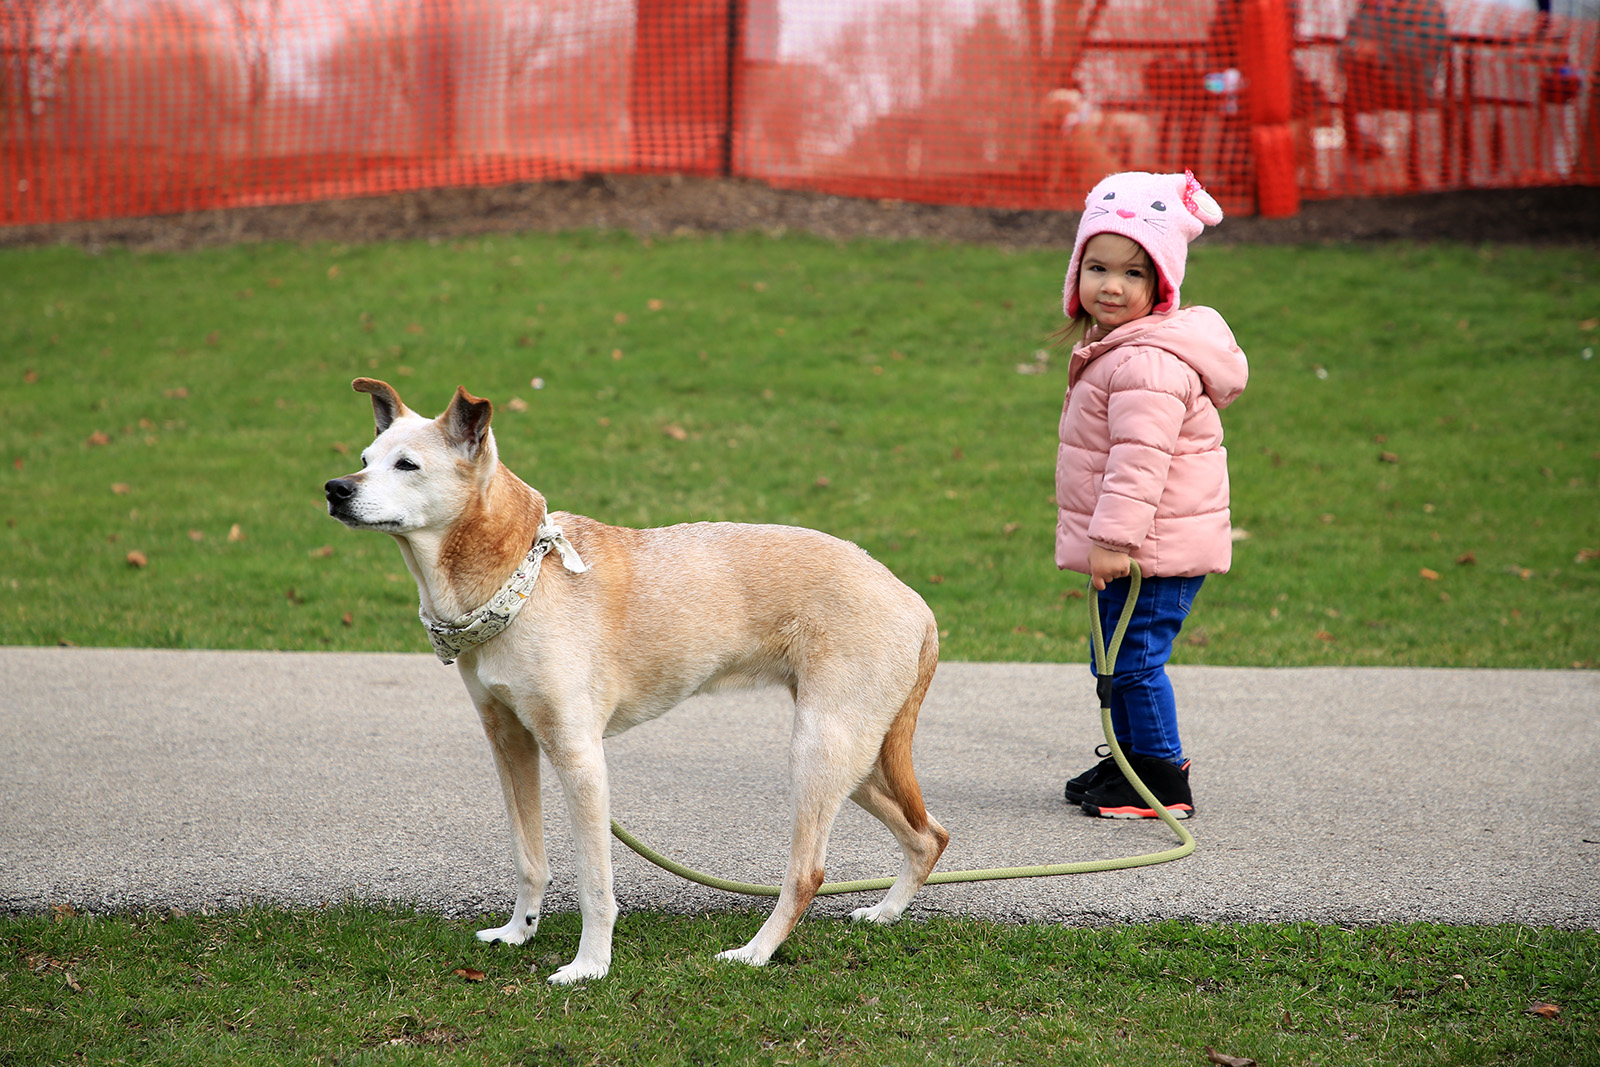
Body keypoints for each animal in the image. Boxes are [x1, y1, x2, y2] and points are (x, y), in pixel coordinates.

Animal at [324, 382, 947, 985]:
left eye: (407, 464)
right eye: (365, 459)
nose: (334, 489)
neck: (520, 576)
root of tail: (915, 602)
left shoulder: (580, 760)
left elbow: (594, 885)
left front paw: (590, 966)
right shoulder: (511, 742)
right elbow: (530, 858)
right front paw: (519, 932)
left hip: (819, 751)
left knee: (809, 872)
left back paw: (755, 953)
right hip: (854, 759)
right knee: (928, 837)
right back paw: (885, 912)